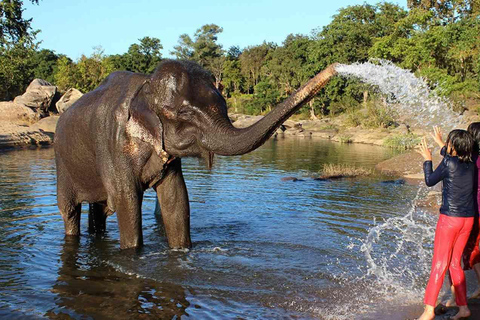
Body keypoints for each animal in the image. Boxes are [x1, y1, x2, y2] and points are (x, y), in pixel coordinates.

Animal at [53, 60, 338, 250]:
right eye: (185, 113)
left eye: (224, 105)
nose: (336, 68)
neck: (146, 85)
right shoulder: (113, 143)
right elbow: (127, 200)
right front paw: (133, 253)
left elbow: (176, 199)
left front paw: (182, 251)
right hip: (62, 164)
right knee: (70, 211)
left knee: (99, 208)